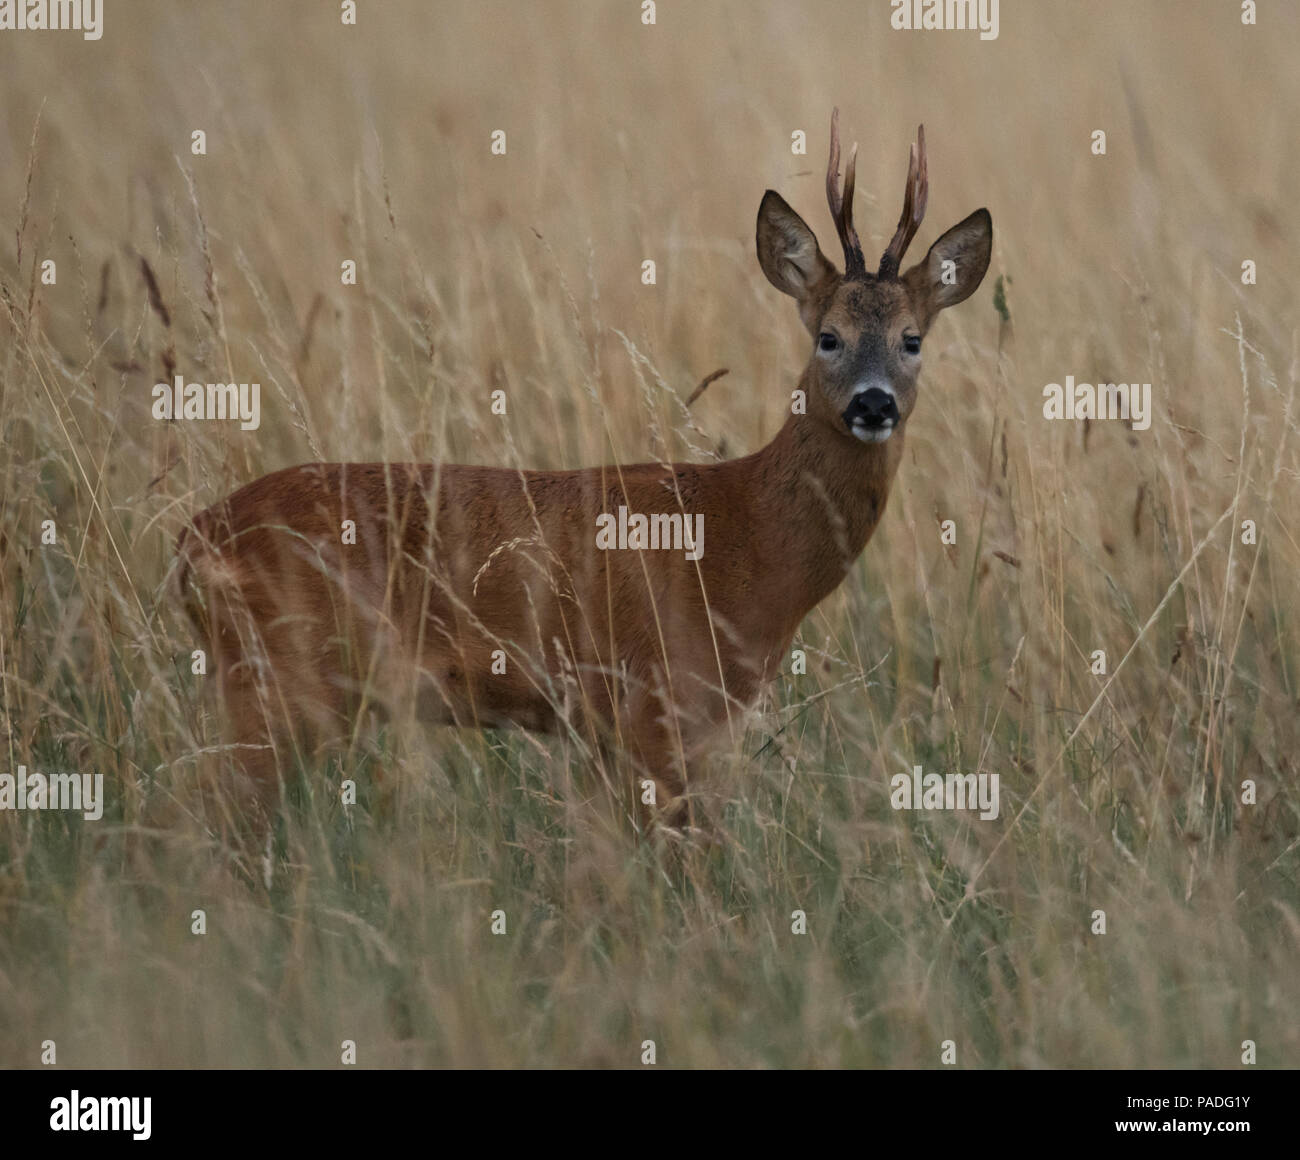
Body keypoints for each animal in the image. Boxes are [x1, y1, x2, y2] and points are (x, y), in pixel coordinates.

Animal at [175, 110, 992, 836]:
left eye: (912, 339)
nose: (873, 403)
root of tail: (190, 540)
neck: (744, 539)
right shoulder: (654, 700)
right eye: (829, 336)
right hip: (279, 678)